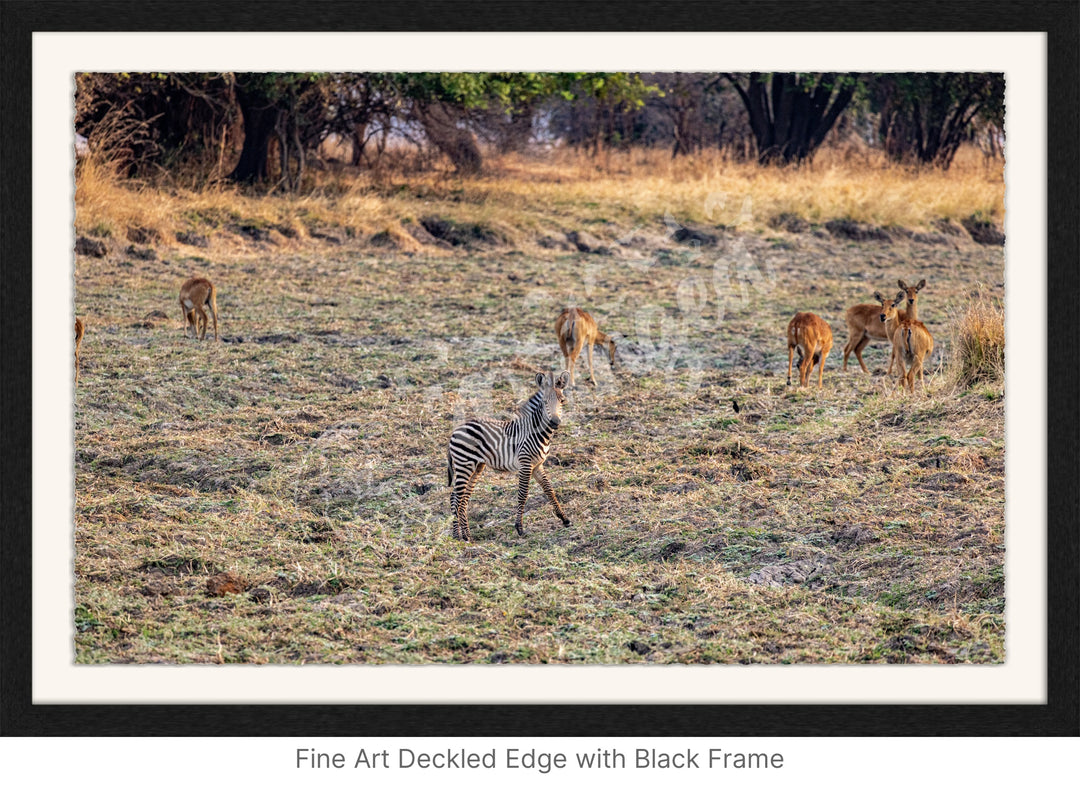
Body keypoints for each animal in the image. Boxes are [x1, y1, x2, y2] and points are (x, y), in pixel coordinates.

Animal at [444, 371, 570, 544]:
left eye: (562, 401)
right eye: (544, 402)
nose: (555, 422)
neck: (537, 433)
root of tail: (456, 430)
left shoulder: (537, 465)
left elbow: (549, 490)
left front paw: (564, 519)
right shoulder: (525, 463)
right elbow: (523, 494)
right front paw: (519, 528)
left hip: (476, 466)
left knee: (462, 498)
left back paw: (466, 535)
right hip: (465, 464)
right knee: (455, 497)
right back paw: (458, 536)